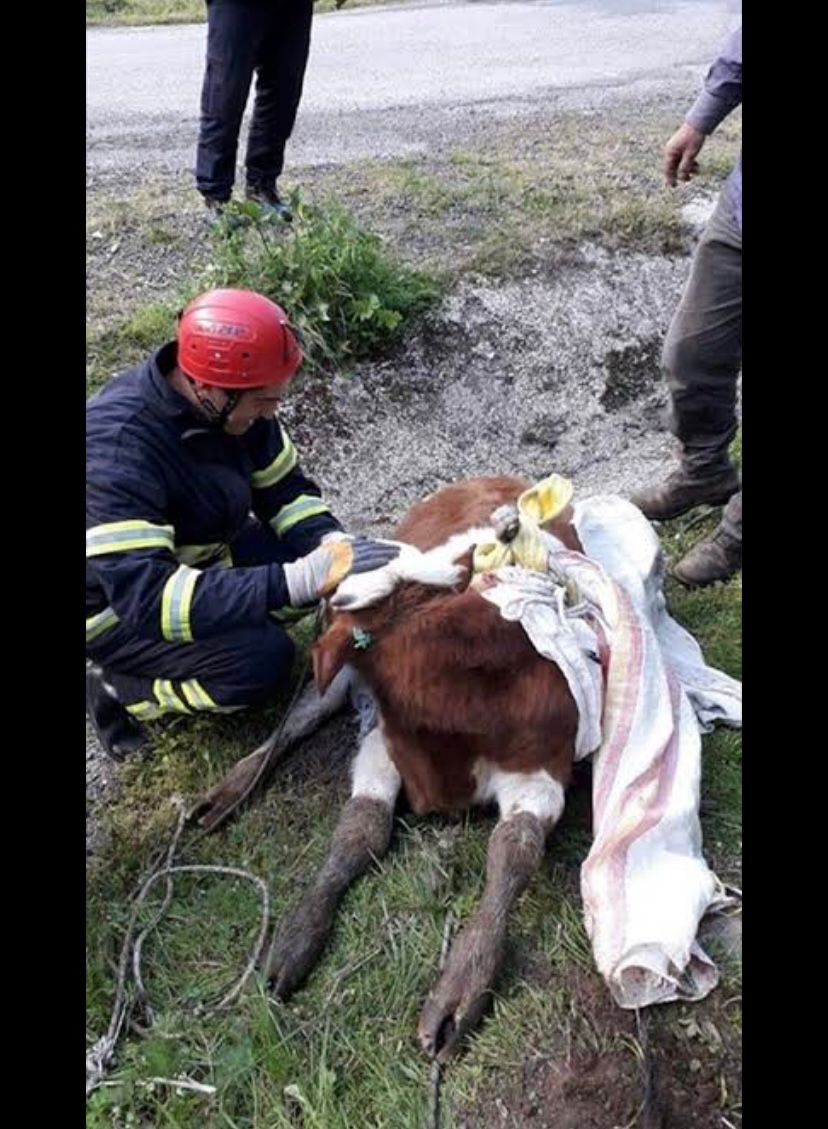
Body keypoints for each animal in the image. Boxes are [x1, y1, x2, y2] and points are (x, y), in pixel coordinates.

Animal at [264, 474, 582, 1056]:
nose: (507, 526)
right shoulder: (381, 744)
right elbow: (358, 831)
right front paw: (298, 935)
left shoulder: (542, 770)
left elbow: (513, 856)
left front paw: (462, 985)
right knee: (301, 715)